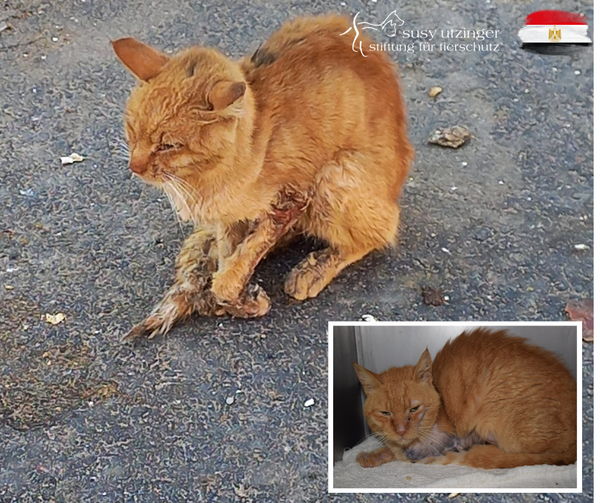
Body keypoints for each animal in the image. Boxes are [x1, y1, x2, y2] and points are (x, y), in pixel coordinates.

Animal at [354, 328, 580, 470]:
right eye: (385, 413)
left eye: (414, 409)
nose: (401, 431)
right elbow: (392, 449)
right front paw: (373, 456)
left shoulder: (441, 439)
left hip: (497, 428)